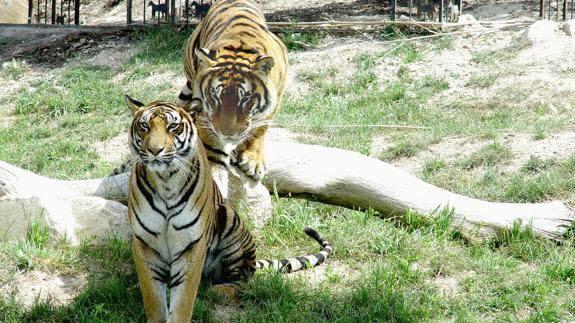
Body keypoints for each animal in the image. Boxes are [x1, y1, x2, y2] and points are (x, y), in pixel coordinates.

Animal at [126, 97, 332, 322]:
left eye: (173, 127)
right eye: (144, 126)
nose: (155, 150)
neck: (165, 181)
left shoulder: (191, 245)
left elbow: (183, 301)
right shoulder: (144, 242)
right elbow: (153, 297)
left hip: (230, 224)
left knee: (243, 279)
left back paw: (220, 290)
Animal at [176, 0, 288, 182]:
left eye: (246, 98)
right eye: (214, 96)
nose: (226, 133)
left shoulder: (278, 95)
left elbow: (260, 129)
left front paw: (254, 161)